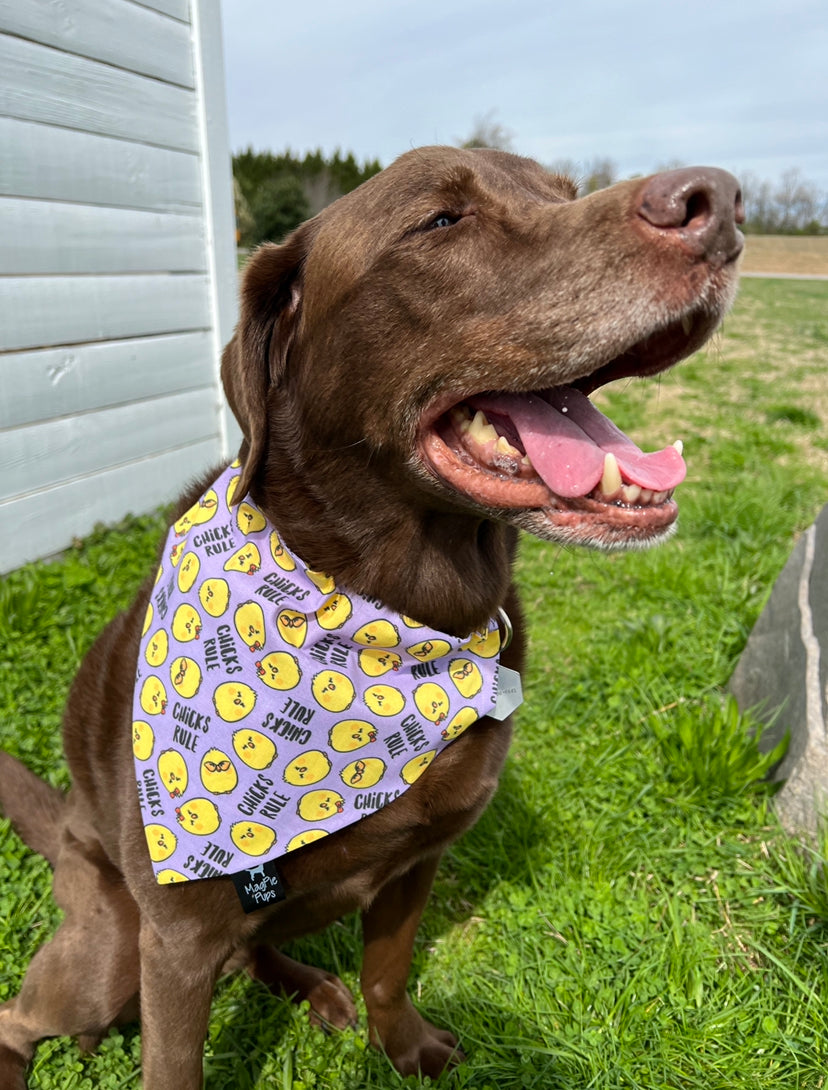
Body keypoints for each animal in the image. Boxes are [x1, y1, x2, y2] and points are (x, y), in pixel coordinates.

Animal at [0, 147, 740, 1090]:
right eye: (441, 221)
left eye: (565, 194)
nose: (718, 202)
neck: (400, 615)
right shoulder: (177, 939)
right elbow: (176, 1065)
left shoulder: (418, 856)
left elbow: (387, 970)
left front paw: (406, 1048)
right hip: (111, 948)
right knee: (19, 1017)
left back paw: (313, 986)